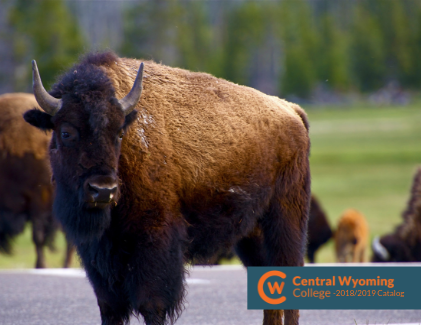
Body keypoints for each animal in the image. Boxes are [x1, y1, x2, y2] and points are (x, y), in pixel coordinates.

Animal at [24, 52, 310, 324]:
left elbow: (152, 304)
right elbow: (110, 307)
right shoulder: (98, 255)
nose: (103, 190)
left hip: (285, 221)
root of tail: (291, 110)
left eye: (119, 133)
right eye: (66, 132)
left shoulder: (156, 242)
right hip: (252, 234)